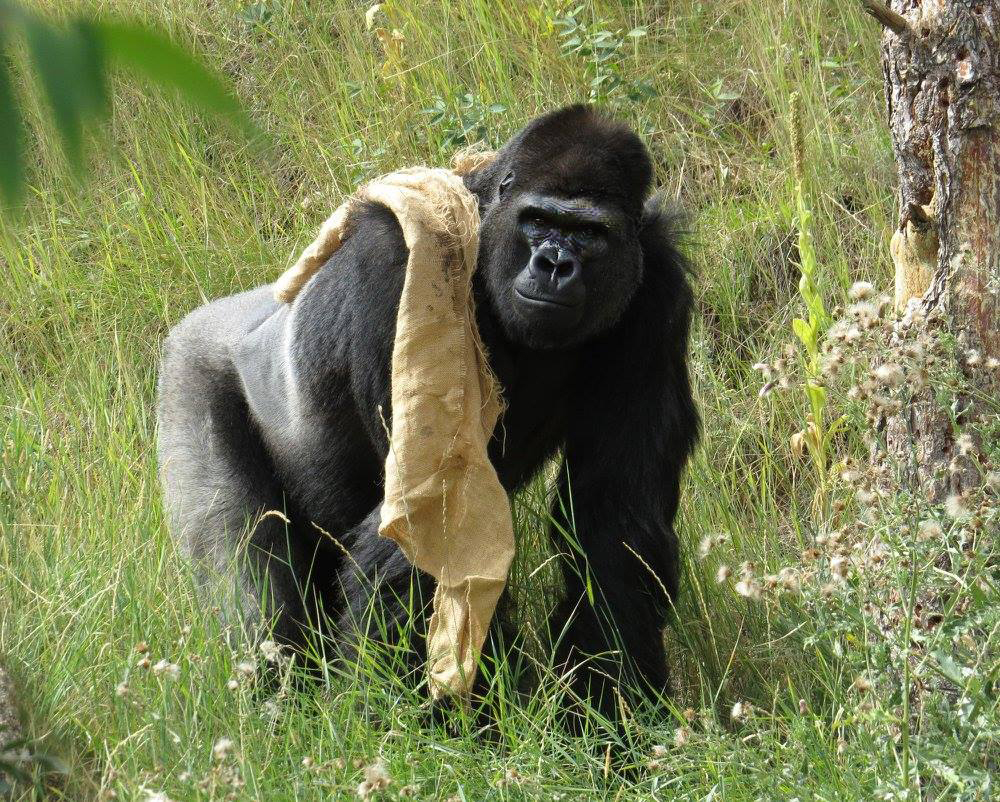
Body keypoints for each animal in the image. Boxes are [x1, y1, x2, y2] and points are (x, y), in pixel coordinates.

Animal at [158, 104, 704, 720]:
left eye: (590, 233)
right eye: (538, 220)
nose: (554, 263)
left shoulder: (659, 284)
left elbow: (614, 517)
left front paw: (610, 710)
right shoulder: (399, 264)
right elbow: (425, 520)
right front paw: (443, 731)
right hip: (190, 372)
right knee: (251, 582)